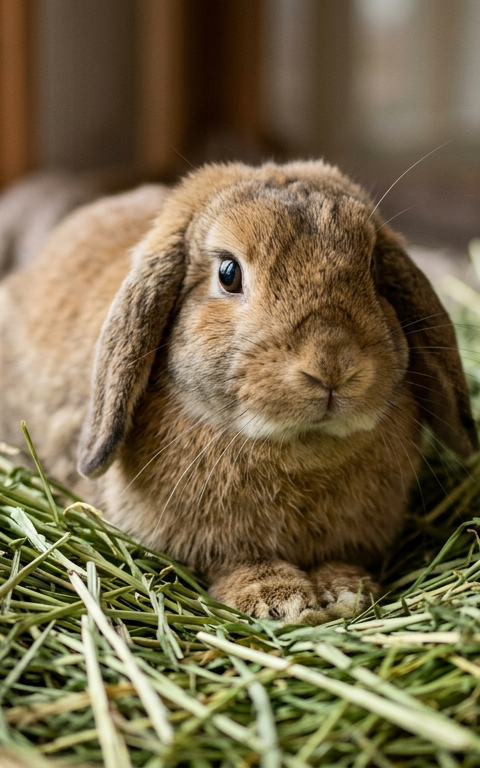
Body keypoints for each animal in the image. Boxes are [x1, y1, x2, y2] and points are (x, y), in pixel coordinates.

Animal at [0, 160, 477, 624]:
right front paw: (278, 599)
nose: (332, 366)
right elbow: (237, 564)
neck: (301, 448)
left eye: (375, 269)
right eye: (228, 274)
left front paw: (346, 590)